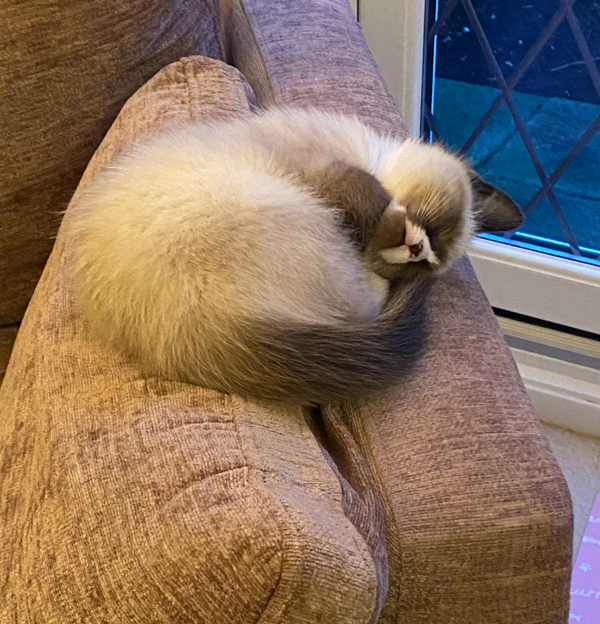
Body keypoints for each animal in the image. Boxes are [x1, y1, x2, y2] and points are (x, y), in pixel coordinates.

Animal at [69, 107, 520, 404]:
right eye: (435, 228)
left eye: (422, 266)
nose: (416, 250)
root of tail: (202, 327)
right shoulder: (326, 167)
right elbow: (371, 194)